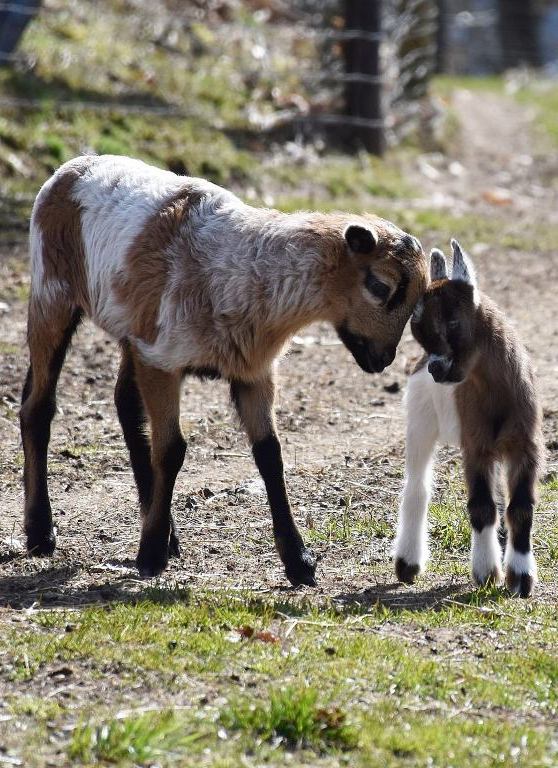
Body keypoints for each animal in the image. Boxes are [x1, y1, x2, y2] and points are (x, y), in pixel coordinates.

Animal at [19, 158, 426, 588]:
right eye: (380, 286)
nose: (383, 358)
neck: (246, 269)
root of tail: (71, 167)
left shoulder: (252, 371)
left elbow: (270, 455)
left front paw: (299, 562)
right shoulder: (163, 361)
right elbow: (171, 450)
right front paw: (150, 557)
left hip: (131, 331)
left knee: (126, 407)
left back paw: (164, 533)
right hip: (52, 294)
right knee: (38, 409)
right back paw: (41, 533)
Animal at [396, 237, 544, 596]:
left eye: (452, 321)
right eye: (418, 330)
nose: (437, 369)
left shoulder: (525, 446)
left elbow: (520, 508)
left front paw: (520, 579)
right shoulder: (476, 446)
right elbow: (482, 507)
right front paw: (487, 572)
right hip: (420, 421)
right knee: (417, 487)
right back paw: (408, 564)